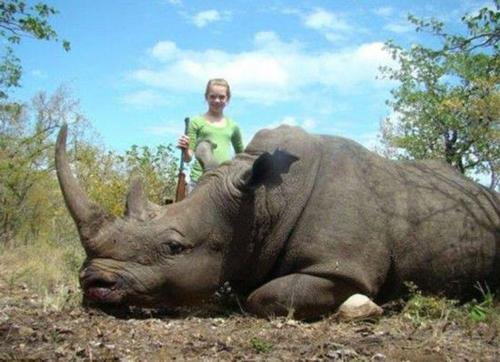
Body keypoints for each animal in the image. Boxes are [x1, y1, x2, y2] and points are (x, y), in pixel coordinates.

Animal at [55, 123, 500, 318]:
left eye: (174, 247)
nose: (93, 284)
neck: (262, 203)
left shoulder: (343, 266)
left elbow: (264, 297)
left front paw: (364, 307)